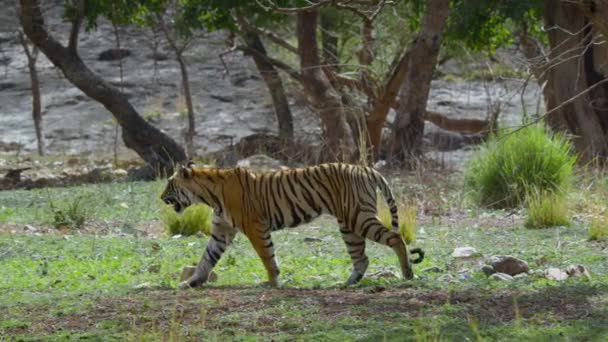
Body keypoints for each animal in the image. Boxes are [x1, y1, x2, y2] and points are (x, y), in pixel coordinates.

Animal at [164, 162, 426, 288]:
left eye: (169, 184)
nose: (160, 196)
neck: (209, 195)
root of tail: (366, 168)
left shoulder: (255, 227)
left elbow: (267, 256)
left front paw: (271, 282)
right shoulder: (221, 232)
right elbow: (206, 259)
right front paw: (190, 282)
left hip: (358, 217)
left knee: (395, 238)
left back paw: (407, 273)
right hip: (348, 224)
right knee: (361, 257)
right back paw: (347, 282)